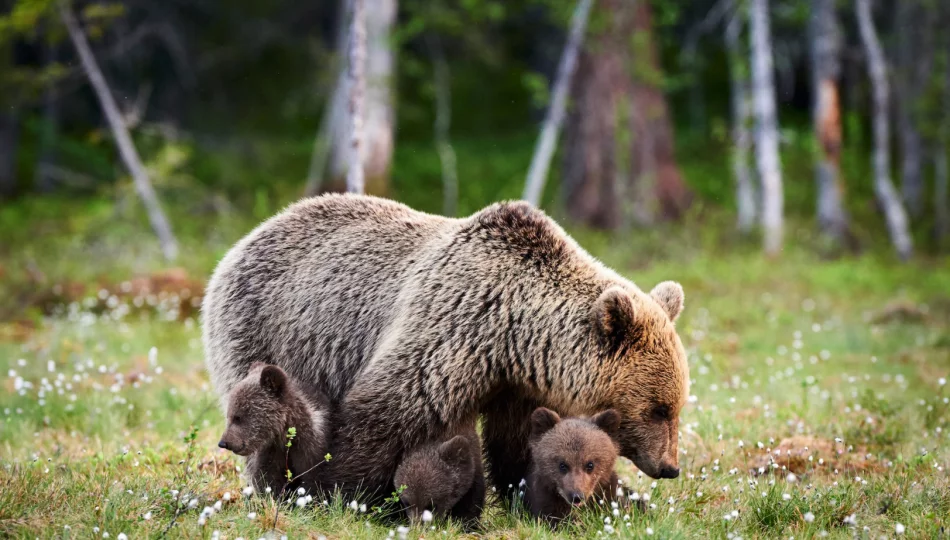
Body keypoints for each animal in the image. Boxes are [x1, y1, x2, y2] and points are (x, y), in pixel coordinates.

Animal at [218, 360, 330, 496]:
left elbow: (313, 478)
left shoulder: (310, 449)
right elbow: (267, 479)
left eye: (237, 417)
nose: (223, 443)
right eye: (229, 416)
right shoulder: (271, 452)